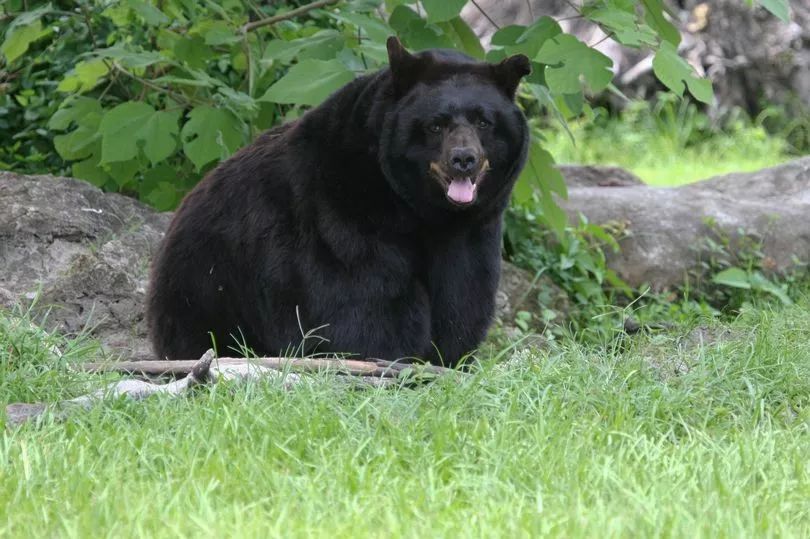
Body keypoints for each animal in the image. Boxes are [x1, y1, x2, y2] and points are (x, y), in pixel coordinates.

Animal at [147, 37, 532, 368]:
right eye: (436, 125)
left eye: (484, 121)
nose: (463, 159)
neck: (419, 209)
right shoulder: (342, 212)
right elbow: (363, 305)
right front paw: (390, 354)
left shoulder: (474, 230)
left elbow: (462, 298)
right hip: (208, 289)